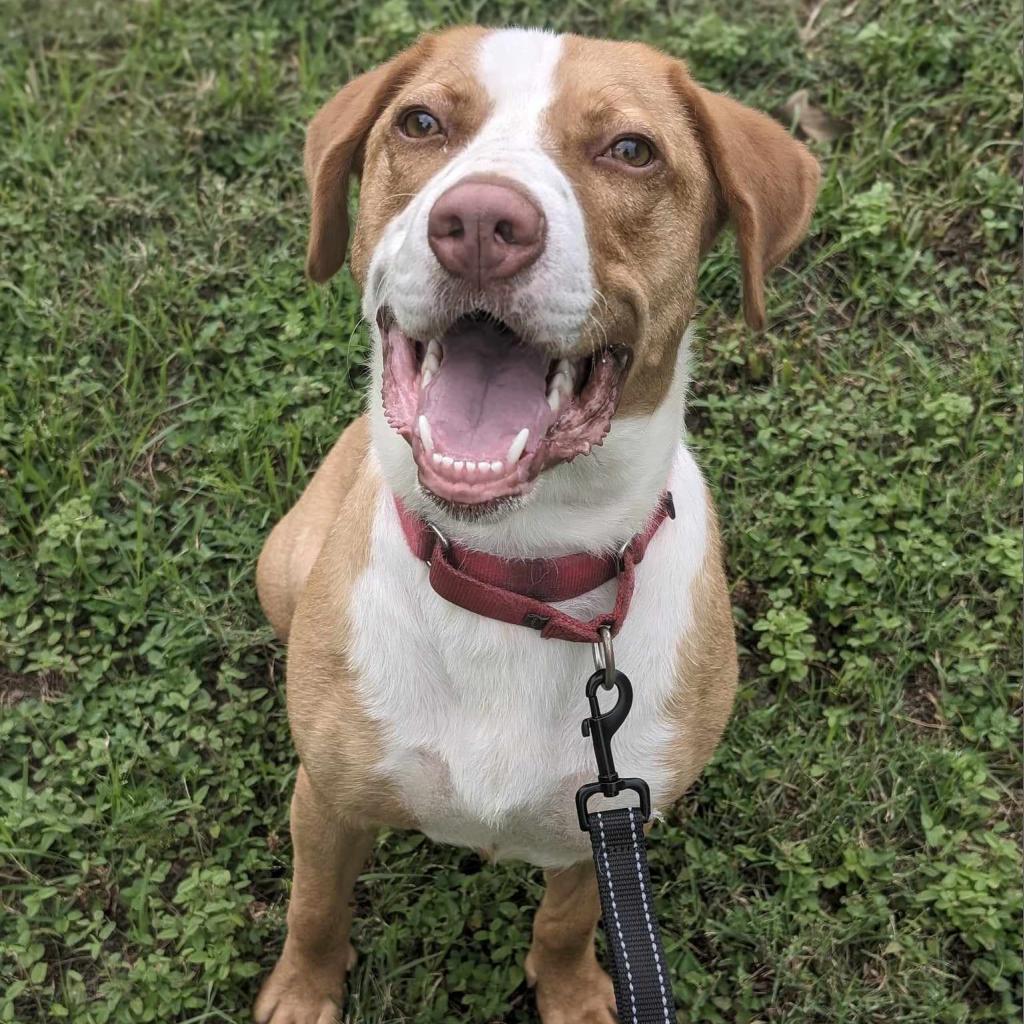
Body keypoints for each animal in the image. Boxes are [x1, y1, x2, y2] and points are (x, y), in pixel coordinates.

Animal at [253, 24, 815, 1024]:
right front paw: (303, 993)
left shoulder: (612, 811)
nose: (481, 223)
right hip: (280, 567)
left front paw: (575, 994)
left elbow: (568, 920)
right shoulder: (328, 800)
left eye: (630, 149)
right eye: (421, 123)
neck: (513, 571)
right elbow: (314, 906)